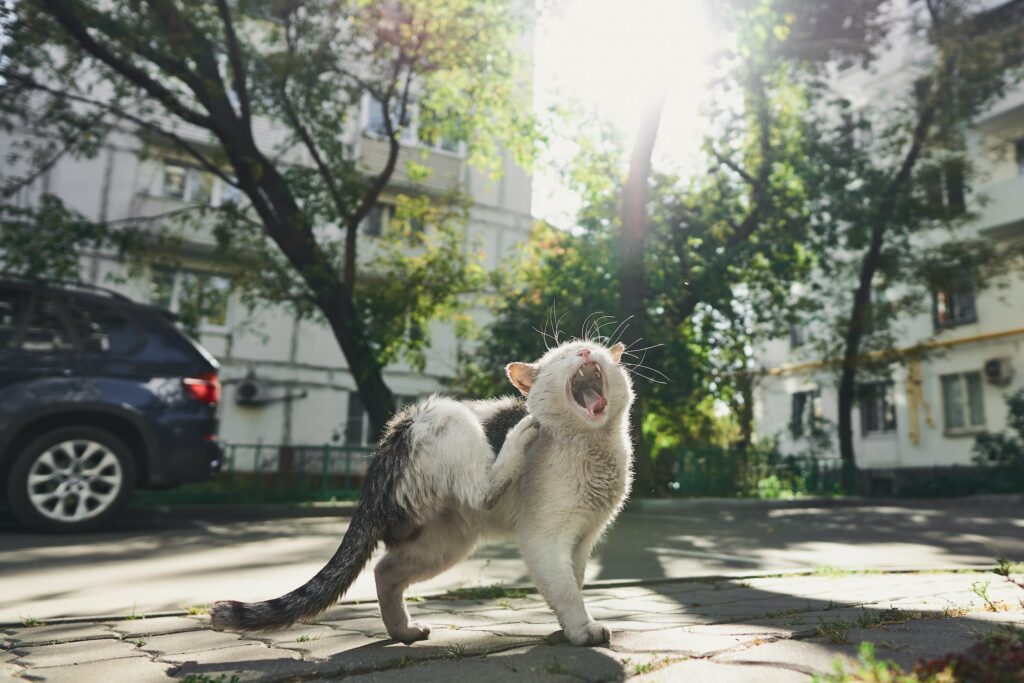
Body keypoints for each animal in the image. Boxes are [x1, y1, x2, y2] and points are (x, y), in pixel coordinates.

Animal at [209, 339, 630, 647]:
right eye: (563, 355)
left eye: (591, 346)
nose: (585, 352)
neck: (593, 448)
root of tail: (387, 443)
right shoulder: (544, 538)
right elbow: (565, 589)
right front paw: (581, 629)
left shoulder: (582, 540)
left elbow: (572, 581)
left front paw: (567, 625)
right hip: (449, 416)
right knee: (483, 490)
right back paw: (521, 433)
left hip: (444, 543)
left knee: (384, 571)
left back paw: (403, 631)